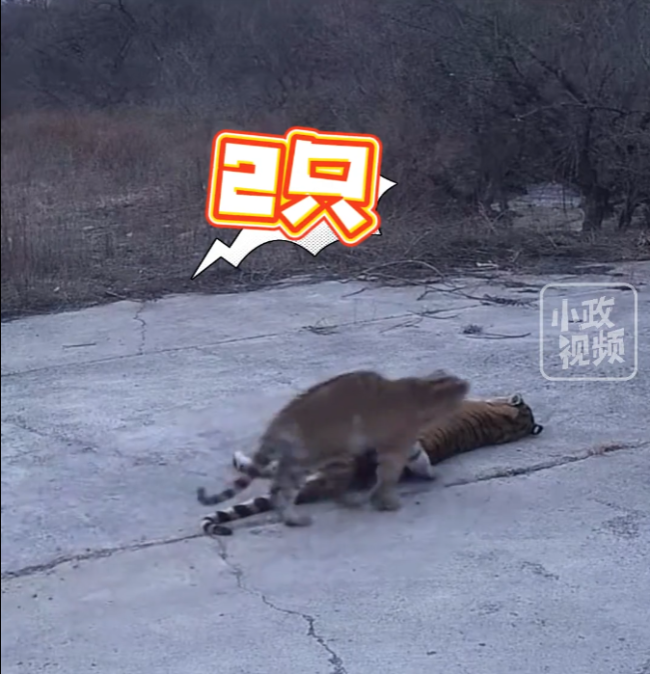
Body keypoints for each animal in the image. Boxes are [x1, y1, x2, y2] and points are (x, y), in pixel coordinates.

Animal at [196, 369, 469, 530]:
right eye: (459, 385)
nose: (468, 382)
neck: (419, 393)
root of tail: (278, 424)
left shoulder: (402, 443)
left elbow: (416, 456)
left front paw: (427, 472)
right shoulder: (394, 446)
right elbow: (388, 476)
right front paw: (385, 500)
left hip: (300, 461)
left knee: (277, 488)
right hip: (309, 460)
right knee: (287, 490)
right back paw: (300, 515)